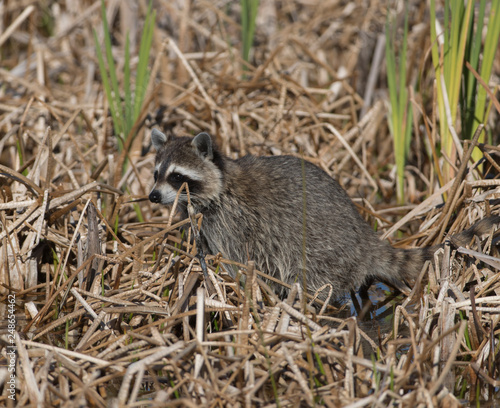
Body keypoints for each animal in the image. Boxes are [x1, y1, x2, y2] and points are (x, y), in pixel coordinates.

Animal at [149, 129, 500, 302]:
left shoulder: (234, 221)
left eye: (177, 177)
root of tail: (365, 239)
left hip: (321, 253)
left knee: (313, 280)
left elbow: (239, 259)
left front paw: (227, 279)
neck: (222, 181)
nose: (152, 196)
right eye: (156, 174)